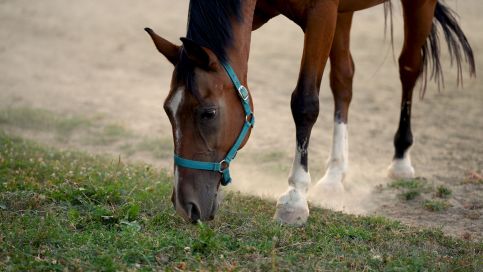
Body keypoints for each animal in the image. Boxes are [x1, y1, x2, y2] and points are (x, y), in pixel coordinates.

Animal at [146, 0, 474, 224]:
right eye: (168, 111)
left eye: (208, 113)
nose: (185, 205)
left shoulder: (321, 15)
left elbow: (305, 103)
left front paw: (294, 199)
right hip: (344, 14)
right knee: (343, 80)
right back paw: (335, 175)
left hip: (417, 5)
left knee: (409, 68)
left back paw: (401, 159)